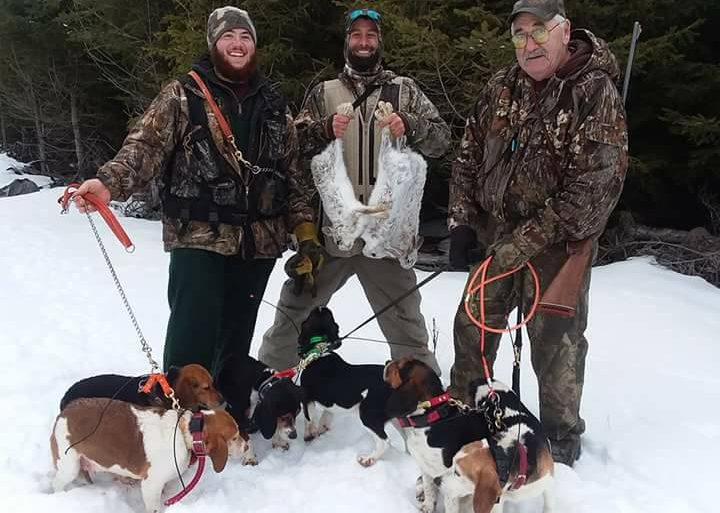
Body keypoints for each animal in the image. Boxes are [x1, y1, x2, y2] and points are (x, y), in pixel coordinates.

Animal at [51, 398, 250, 510]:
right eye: (234, 437)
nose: (247, 447)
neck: (186, 431)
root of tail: (64, 412)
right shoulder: (151, 485)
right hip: (69, 467)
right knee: (57, 485)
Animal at [386, 358, 556, 512]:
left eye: (399, 365)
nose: (387, 361)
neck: (434, 418)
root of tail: (483, 379)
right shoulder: (428, 467)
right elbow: (429, 489)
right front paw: (427, 503)